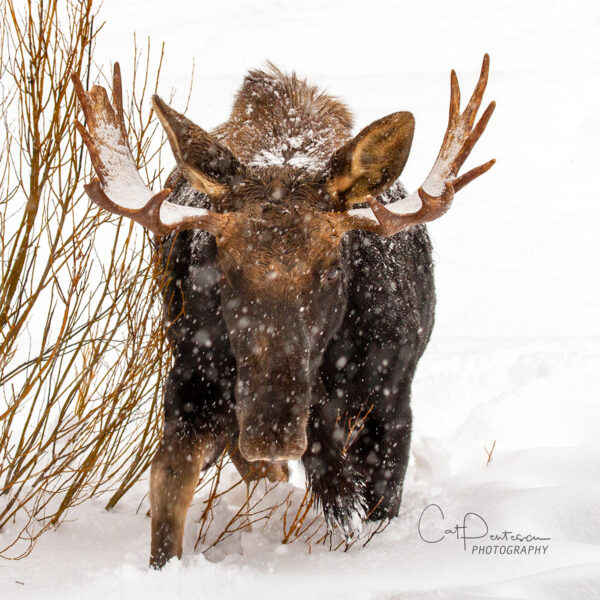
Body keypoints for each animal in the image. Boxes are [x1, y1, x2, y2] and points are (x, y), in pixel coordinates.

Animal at [72, 55, 494, 568]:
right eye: (224, 268)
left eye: (332, 270)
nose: (271, 430)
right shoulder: (195, 381)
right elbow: (170, 493)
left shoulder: (392, 399)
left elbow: (377, 504)